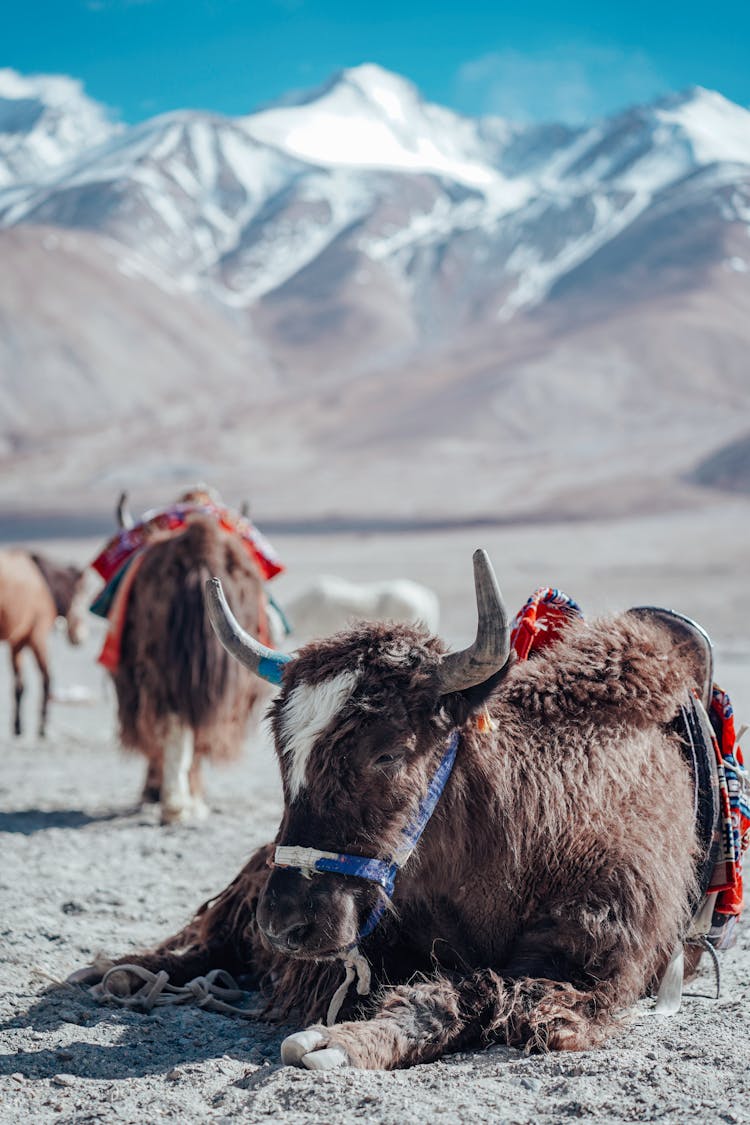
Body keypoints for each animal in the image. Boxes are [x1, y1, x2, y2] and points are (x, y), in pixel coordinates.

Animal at [0, 546, 88, 738]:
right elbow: (47, 677)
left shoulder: (18, 640)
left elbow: (19, 686)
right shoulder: (37, 636)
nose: (81, 637)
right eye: (81, 594)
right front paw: (42, 726)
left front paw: (18, 726)